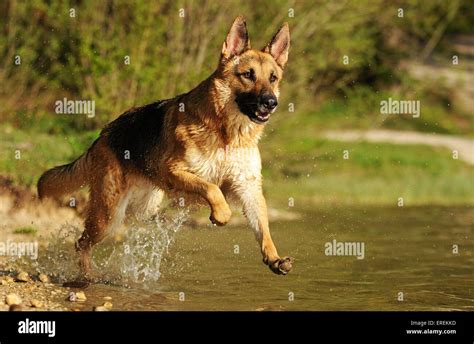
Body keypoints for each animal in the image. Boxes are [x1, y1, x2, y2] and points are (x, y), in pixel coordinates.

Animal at [39, 15, 292, 282]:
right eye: (248, 75)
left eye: (272, 78)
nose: (271, 102)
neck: (227, 134)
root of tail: (101, 136)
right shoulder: (173, 171)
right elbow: (211, 188)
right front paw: (221, 214)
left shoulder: (248, 188)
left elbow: (263, 226)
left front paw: (274, 257)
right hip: (108, 216)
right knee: (81, 243)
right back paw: (88, 275)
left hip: (142, 207)